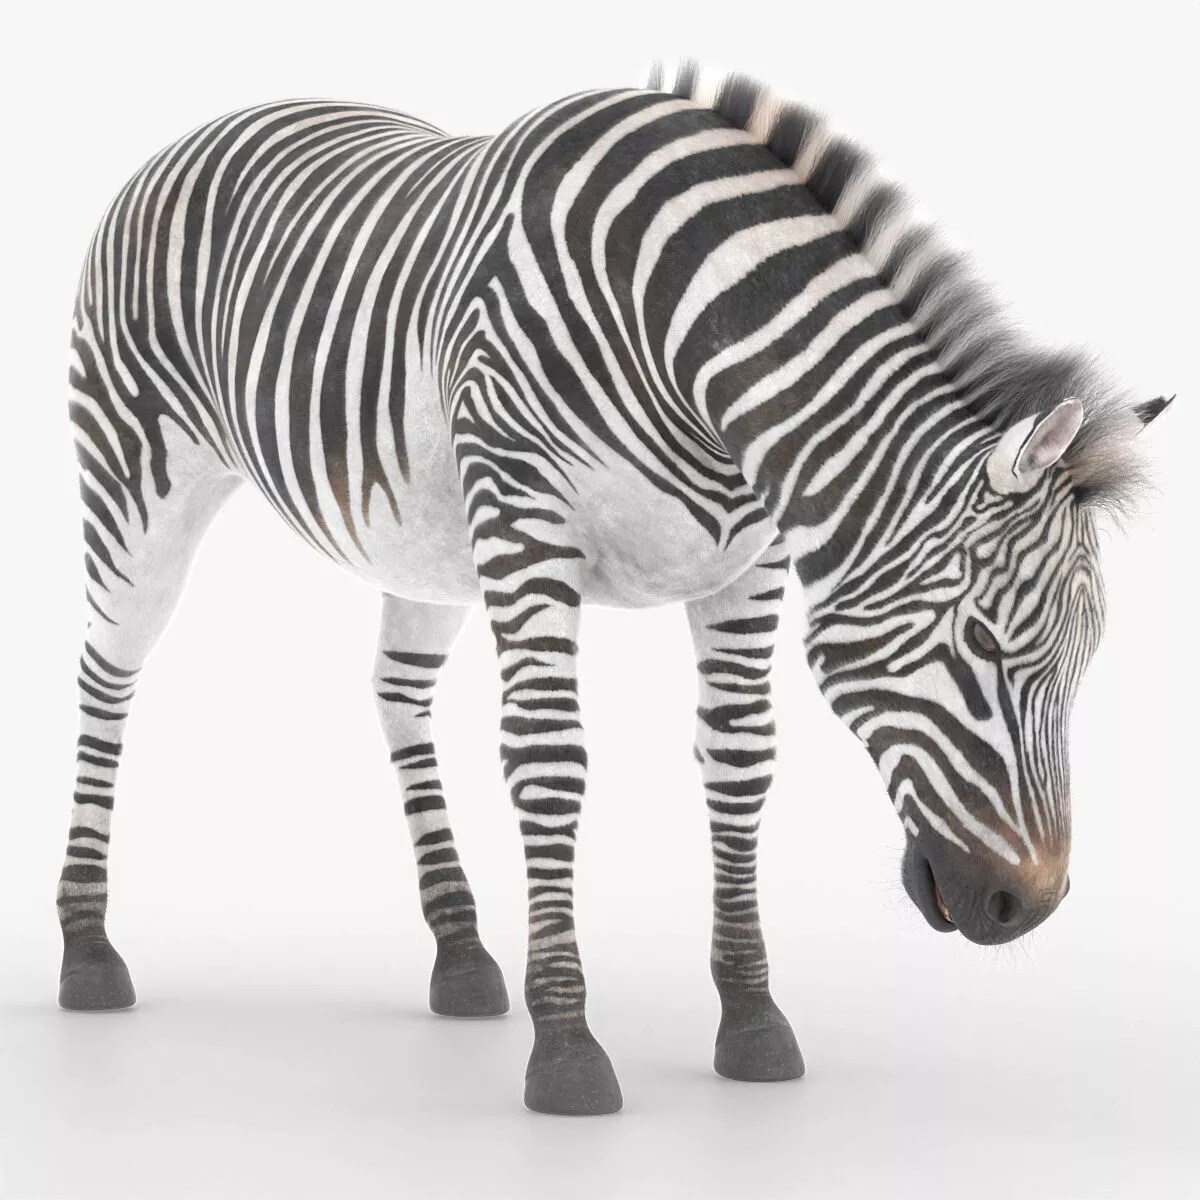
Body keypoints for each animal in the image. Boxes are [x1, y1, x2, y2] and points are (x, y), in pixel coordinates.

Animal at [58, 60, 1170, 1117]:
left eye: (1083, 665)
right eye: (983, 645)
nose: (1028, 910)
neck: (698, 360)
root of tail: (215, 121)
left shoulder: (748, 566)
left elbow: (741, 764)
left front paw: (752, 1021)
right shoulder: (525, 526)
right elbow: (549, 761)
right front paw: (567, 1050)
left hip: (424, 542)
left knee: (397, 695)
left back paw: (460, 953)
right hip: (139, 481)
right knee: (107, 676)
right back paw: (87, 951)